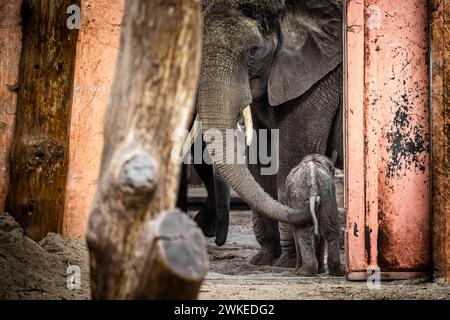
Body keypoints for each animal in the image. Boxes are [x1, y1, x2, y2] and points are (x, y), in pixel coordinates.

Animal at [190, 0, 342, 266]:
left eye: (254, 50)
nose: (217, 241)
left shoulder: (319, 78)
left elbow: (292, 157)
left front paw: (285, 263)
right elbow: (261, 160)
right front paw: (264, 260)